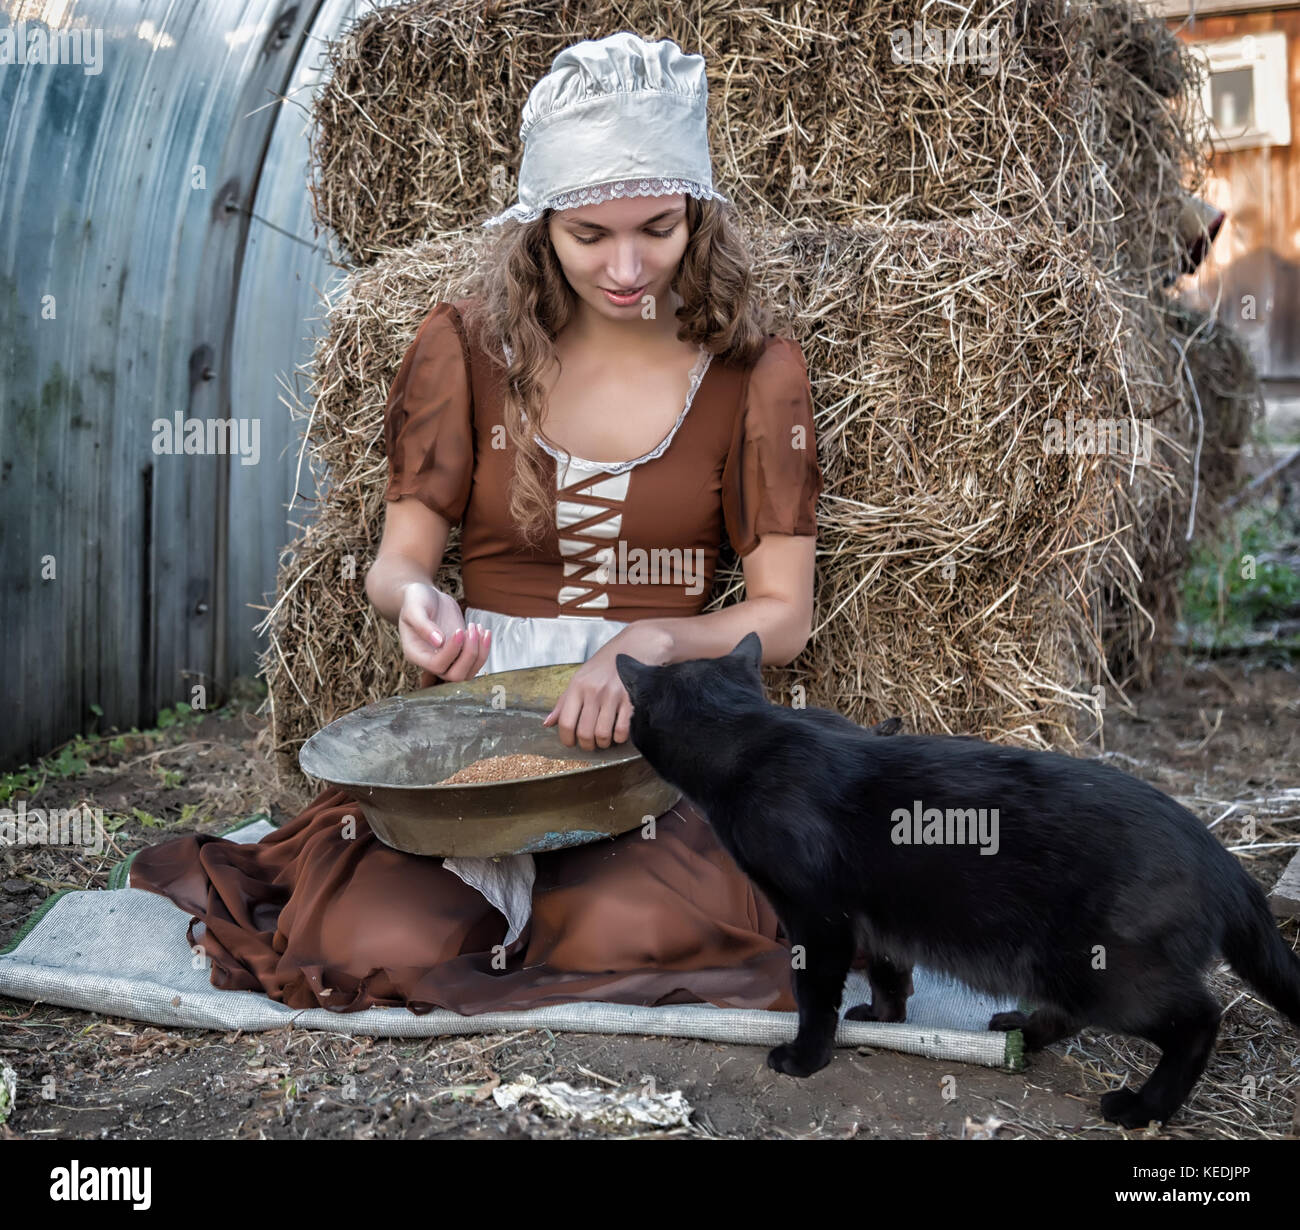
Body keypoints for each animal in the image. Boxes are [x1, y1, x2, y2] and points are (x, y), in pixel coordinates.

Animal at [613, 631, 1300, 1123]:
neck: (754, 736)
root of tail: (1223, 859)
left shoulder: (818, 917)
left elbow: (814, 995)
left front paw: (806, 1058)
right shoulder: (877, 915)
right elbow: (891, 970)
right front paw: (885, 1018)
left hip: (1110, 971)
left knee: (1199, 1021)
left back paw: (1142, 1107)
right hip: (1061, 966)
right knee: (1072, 1014)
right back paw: (1020, 1030)